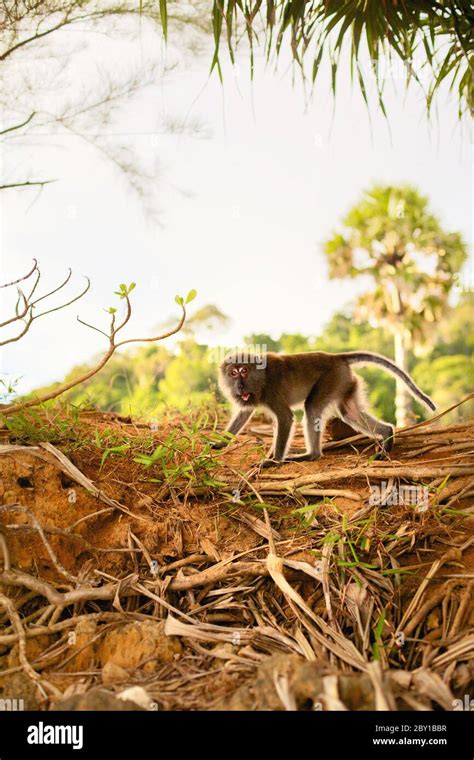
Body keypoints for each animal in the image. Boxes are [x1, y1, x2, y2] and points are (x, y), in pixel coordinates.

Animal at [212, 351, 436, 466]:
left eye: (243, 370)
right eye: (233, 373)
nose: (239, 385)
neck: (261, 378)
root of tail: (335, 356)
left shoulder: (272, 391)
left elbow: (285, 417)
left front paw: (274, 461)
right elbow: (243, 413)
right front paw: (220, 443)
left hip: (332, 378)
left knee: (311, 408)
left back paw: (311, 455)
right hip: (345, 380)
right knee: (349, 413)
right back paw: (387, 434)